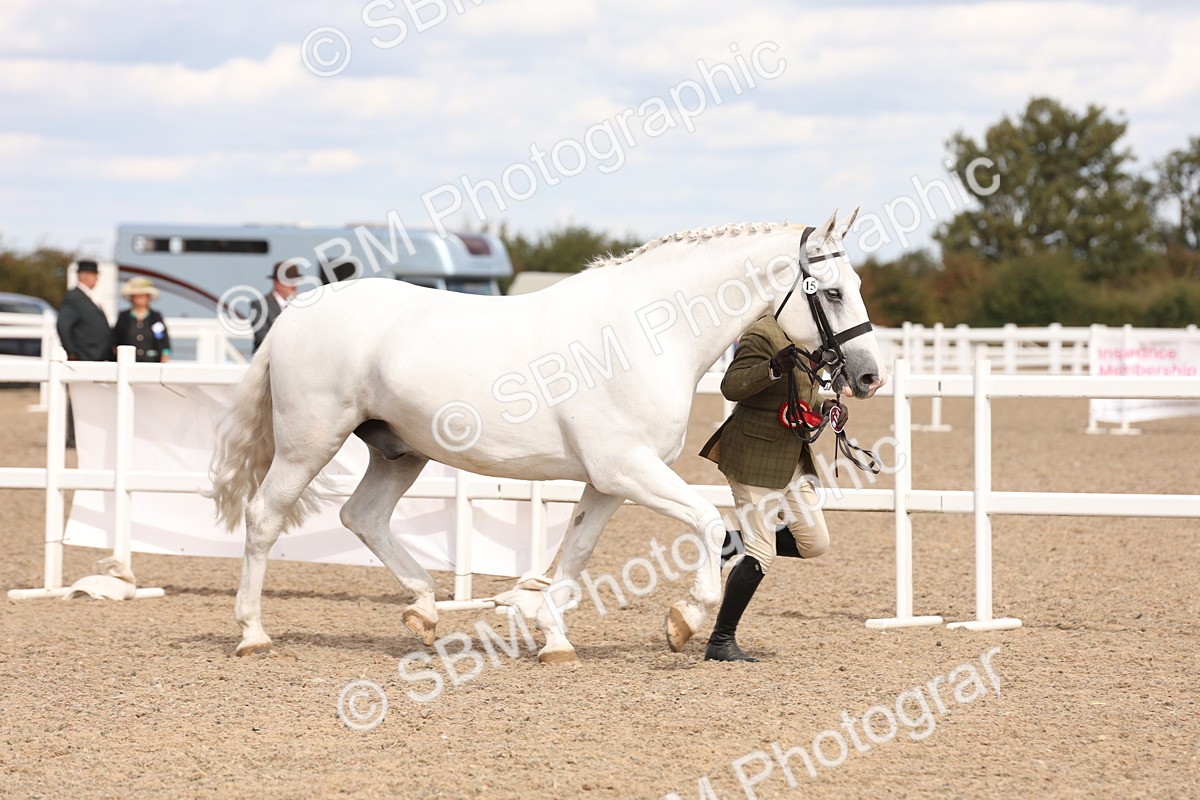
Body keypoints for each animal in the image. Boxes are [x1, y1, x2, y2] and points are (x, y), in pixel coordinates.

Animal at [208, 209, 887, 662]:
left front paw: (548, 632)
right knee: (265, 517)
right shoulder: (628, 469)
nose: (869, 376)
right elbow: (709, 522)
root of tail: (295, 314)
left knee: (364, 517)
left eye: (856, 287)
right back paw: (253, 633)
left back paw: (424, 612)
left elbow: (577, 554)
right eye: (831, 291)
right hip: (310, 442)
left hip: (397, 451)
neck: (644, 332)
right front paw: (685, 619)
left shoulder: (608, 483)